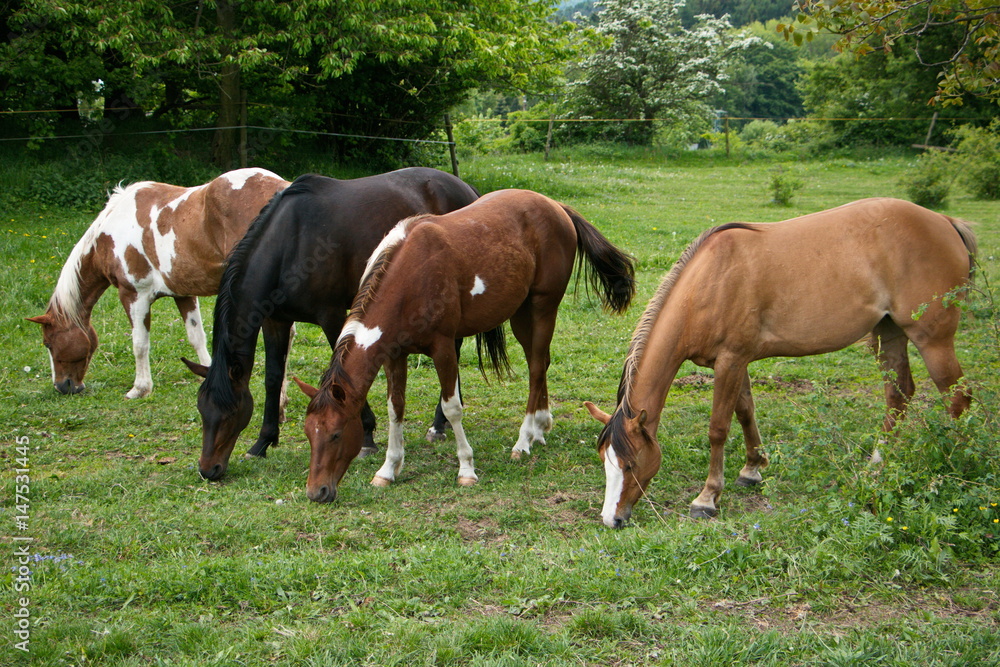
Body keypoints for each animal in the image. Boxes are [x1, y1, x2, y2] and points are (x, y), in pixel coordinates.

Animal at [29, 168, 288, 396]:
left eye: (48, 343)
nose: (63, 386)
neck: (112, 231)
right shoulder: (184, 294)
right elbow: (197, 337)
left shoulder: (134, 295)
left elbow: (140, 343)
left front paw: (140, 388)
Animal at [184, 167, 484, 480]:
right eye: (203, 411)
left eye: (231, 412)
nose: (208, 469)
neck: (291, 242)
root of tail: (464, 187)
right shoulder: (275, 320)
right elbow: (272, 377)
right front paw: (263, 441)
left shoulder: (331, 316)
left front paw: (367, 436)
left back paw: (439, 423)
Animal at [292, 187, 632, 500]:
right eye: (309, 433)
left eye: (336, 434)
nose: (317, 492)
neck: (411, 275)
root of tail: (555, 206)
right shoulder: (394, 356)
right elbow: (395, 408)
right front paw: (388, 469)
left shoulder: (444, 347)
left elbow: (452, 408)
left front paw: (466, 469)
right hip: (521, 315)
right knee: (541, 363)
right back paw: (541, 426)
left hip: (543, 307)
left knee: (536, 367)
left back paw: (523, 441)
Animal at [584, 197, 976, 528]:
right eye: (605, 461)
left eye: (631, 464)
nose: (611, 519)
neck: (711, 282)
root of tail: (945, 222)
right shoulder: (735, 361)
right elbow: (745, 412)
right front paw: (752, 469)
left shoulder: (731, 361)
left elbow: (718, 429)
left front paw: (707, 498)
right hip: (888, 333)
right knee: (899, 395)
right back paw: (877, 466)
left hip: (932, 339)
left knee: (957, 398)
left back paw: (958, 465)